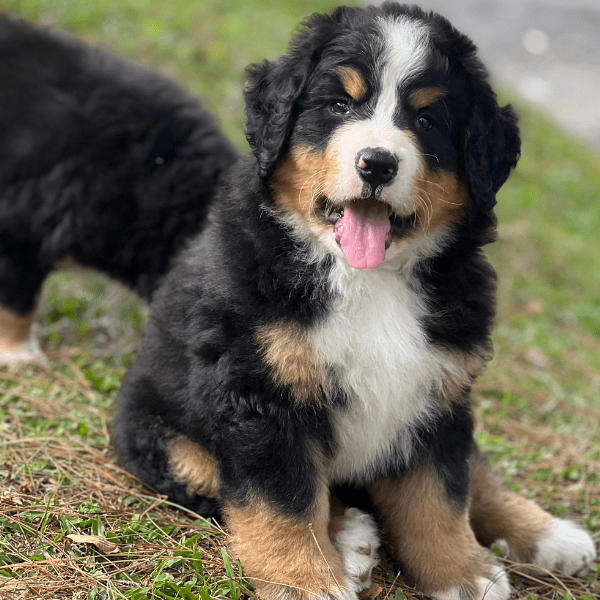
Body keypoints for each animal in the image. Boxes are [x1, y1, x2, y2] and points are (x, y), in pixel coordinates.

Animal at [112, 4, 596, 600]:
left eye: (427, 120)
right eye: (339, 105)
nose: (377, 164)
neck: (369, 279)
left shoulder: (437, 389)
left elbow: (441, 495)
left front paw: (462, 575)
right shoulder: (259, 394)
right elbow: (286, 503)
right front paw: (306, 582)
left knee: (475, 473)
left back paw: (549, 536)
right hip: (162, 435)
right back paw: (351, 535)